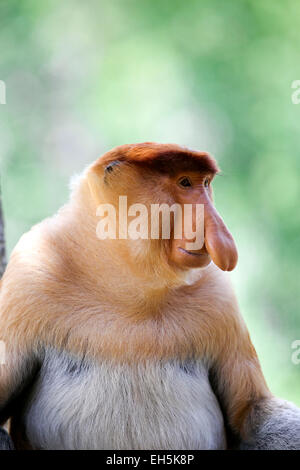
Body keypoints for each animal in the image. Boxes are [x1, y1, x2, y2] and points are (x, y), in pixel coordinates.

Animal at [0, 142, 300, 448]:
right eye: (184, 182)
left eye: (205, 184)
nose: (221, 236)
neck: (129, 286)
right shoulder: (30, 276)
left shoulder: (219, 298)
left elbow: (251, 412)